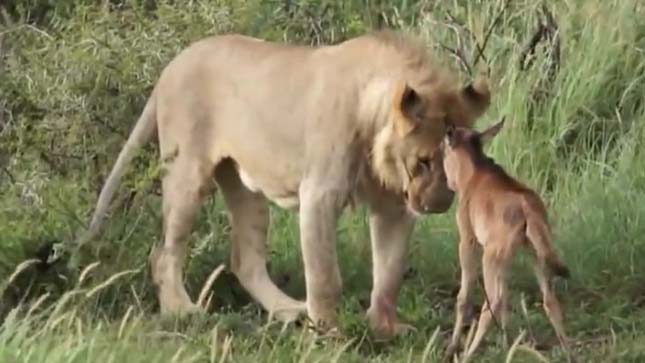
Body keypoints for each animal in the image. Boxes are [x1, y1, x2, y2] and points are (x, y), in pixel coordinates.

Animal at [75, 31, 488, 338]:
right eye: (424, 161)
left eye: (454, 166)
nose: (438, 205)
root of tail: (170, 67)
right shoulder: (320, 193)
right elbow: (325, 274)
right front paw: (330, 331)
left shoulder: (394, 205)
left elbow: (389, 272)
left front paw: (384, 328)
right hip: (186, 173)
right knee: (164, 253)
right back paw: (183, 311)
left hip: (246, 187)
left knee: (245, 260)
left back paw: (289, 310)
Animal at [438, 118, 568, 362]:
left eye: (443, 151)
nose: (448, 183)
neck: (474, 172)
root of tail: (528, 208)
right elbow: (507, 296)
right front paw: (506, 343)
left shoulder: (468, 240)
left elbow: (464, 295)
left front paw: (452, 347)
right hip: (534, 254)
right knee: (549, 300)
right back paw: (568, 351)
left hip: (491, 256)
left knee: (492, 303)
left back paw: (468, 353)